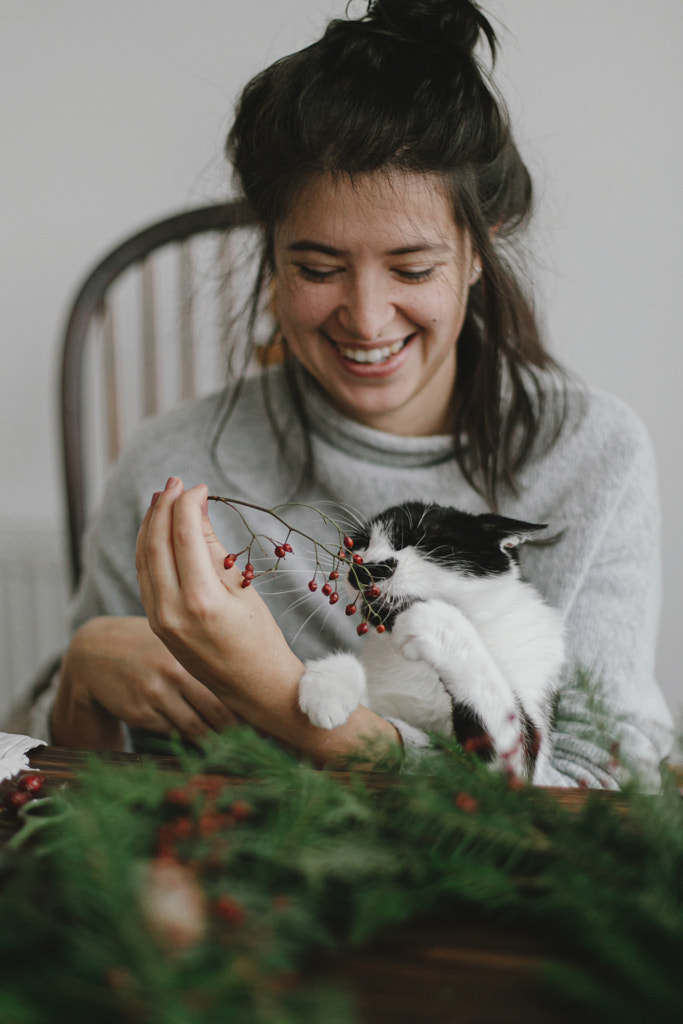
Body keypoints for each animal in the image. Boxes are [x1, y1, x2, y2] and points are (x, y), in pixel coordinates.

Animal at [301, 499, 565, 778]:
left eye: (423, 541)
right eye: (359, 545)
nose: (363, 569)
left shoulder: (518, 766)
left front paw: (434, 623)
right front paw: (327, 686)